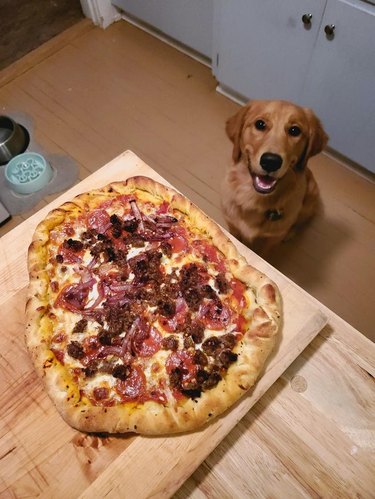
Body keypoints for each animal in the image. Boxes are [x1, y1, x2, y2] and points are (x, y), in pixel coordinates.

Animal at [223, 99, 328, 256]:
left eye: (295, 130)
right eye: (260, 124)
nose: (271, 161)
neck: (255, 199)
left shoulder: (273, 239)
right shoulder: (232, 226)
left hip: (310, 198)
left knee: (300, 222)